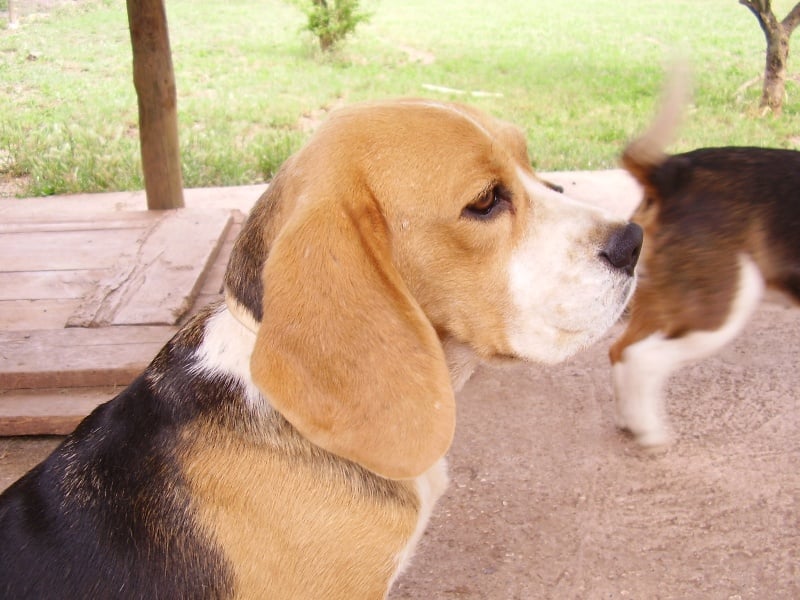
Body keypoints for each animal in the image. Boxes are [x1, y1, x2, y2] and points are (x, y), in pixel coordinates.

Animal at [608, 71, 796, 446]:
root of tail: (675, 172)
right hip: (721, 306)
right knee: (643, 358)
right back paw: (651, 433)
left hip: (658, 297)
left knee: (621, 351)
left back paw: (630, 420)